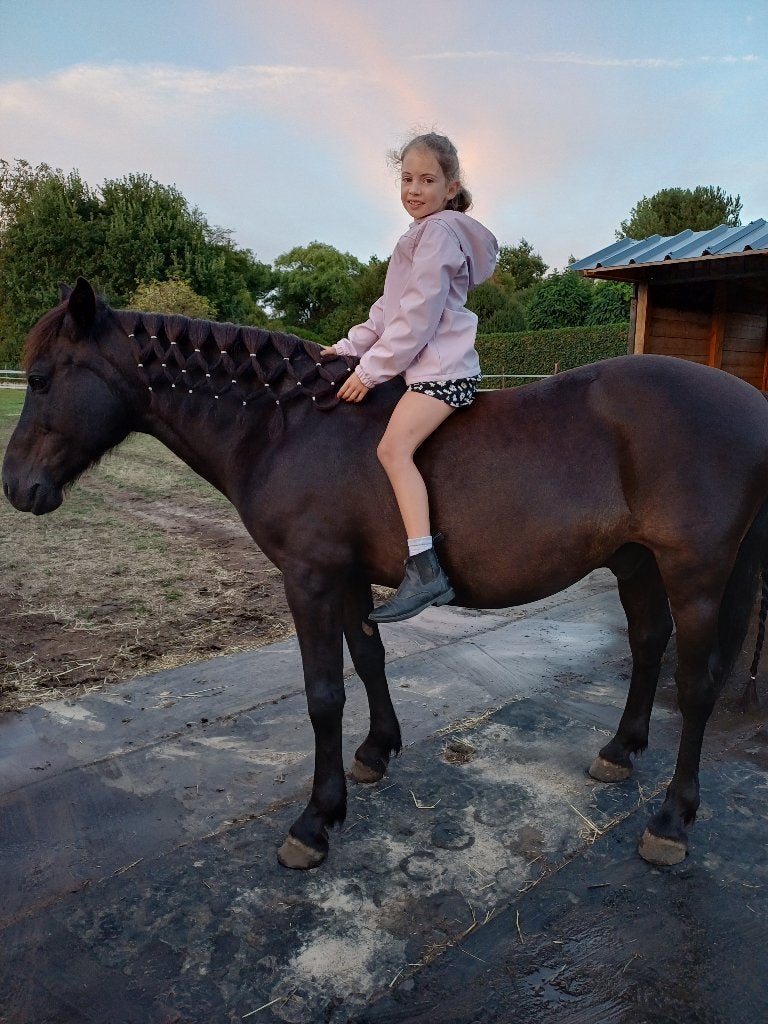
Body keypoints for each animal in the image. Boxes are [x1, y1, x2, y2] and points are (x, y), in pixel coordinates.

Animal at [4, 277, 768, 871]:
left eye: (40, 380)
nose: (17, 487)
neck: (286, 426)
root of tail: (750, 404)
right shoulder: (345, 578)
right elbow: (368, 660)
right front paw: (375, 752)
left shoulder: (309, 578)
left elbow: (322, 694)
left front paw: (315, 821)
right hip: (635, 561)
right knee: (647, 641)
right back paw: (620, 749)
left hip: (697, 575)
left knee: (694, 684)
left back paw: (670, 820)